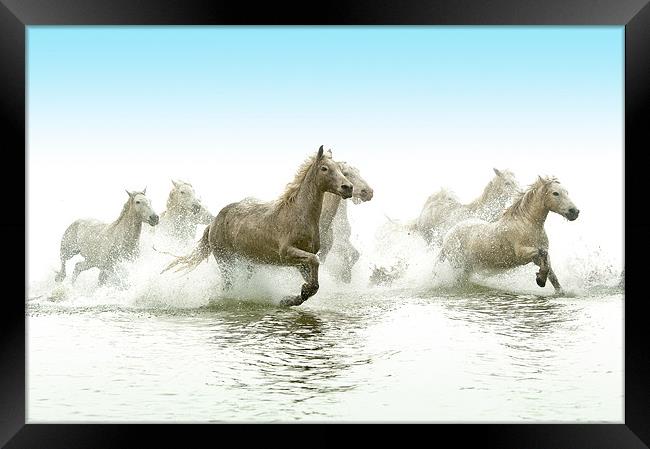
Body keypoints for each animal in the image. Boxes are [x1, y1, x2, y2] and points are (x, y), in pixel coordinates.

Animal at [165, 145, 352, 306]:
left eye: (341, 169)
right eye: (324, 168)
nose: (348, 187)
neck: (297, 214)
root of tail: (213, 222)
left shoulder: (302, 263)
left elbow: (314, 284)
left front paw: (291, 299)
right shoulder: (287, 253)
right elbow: (315, 260)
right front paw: (293, 297)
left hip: (248, 263)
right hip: (226, 260)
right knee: (227, 286)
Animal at [438, 175, 580, 294]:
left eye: (567, 192)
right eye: (555, 193)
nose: (574, 212)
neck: (527, 224)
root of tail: (447, 236)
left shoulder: (536, 257)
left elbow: (550, 270)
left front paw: (549, 284)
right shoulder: (521, 254)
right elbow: (542, 253)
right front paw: (540, 280)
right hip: (459, 267)